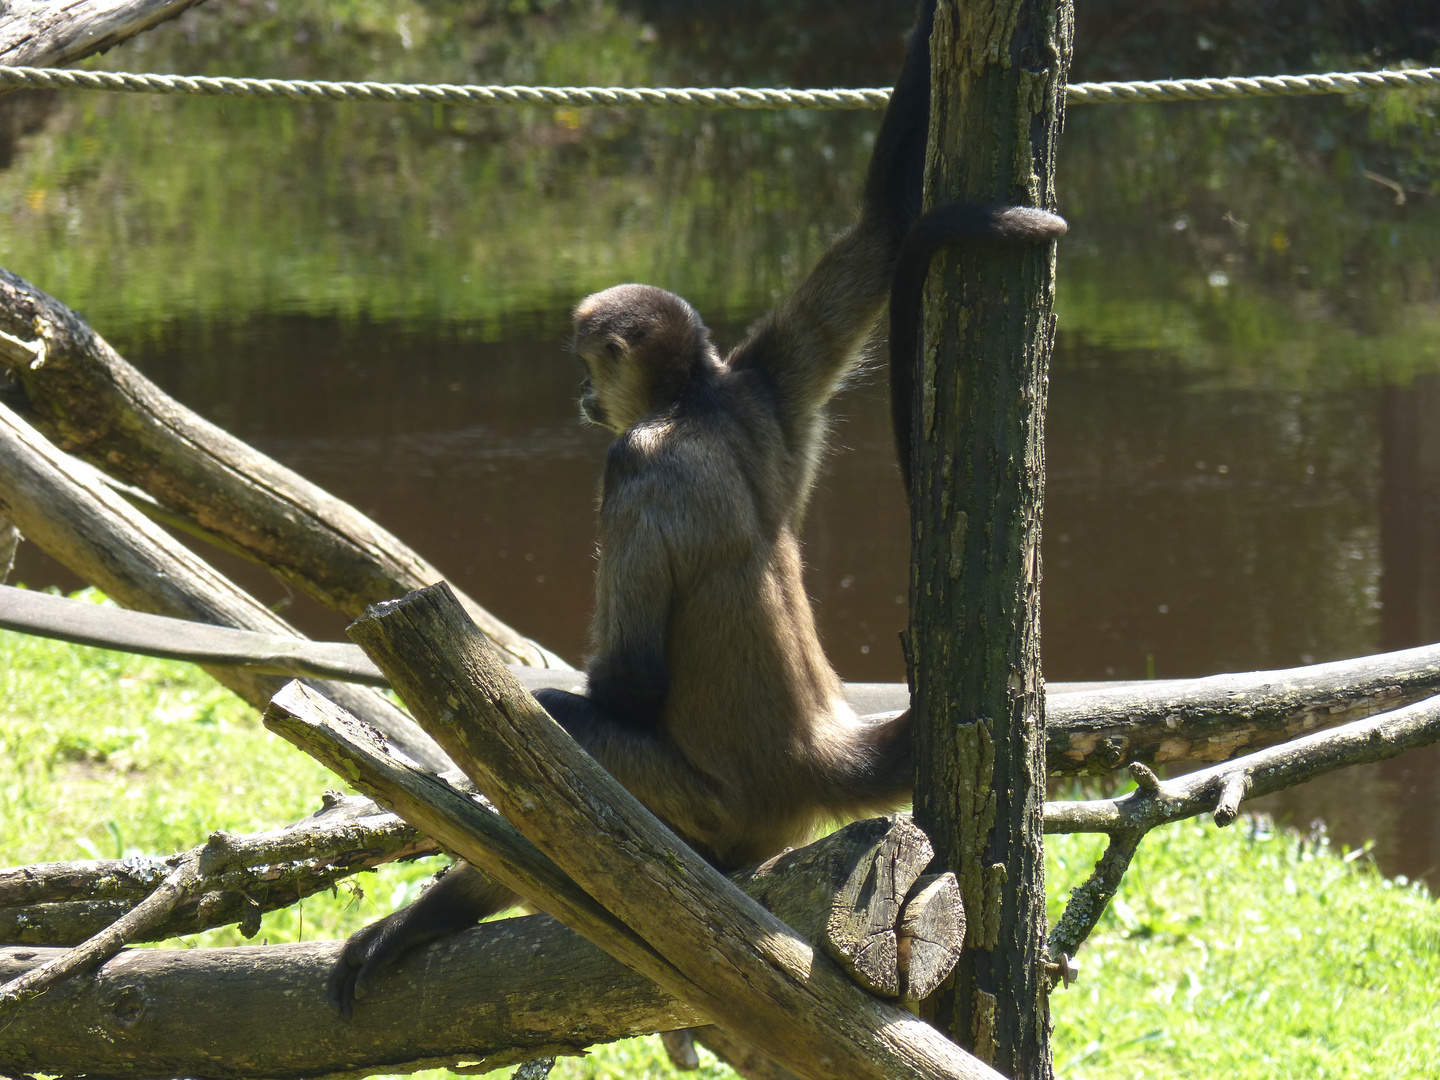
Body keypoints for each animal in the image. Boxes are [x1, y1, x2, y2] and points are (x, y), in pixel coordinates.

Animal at [331, 0, 1065, 1019]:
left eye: (588, 366)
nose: (581, 397)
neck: (693, 401)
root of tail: (817, 751)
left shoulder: (632, 460)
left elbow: (630, 683)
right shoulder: (761, 384)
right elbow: (882, 229)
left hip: (711, 809)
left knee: (568, 731)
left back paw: (436, 915)